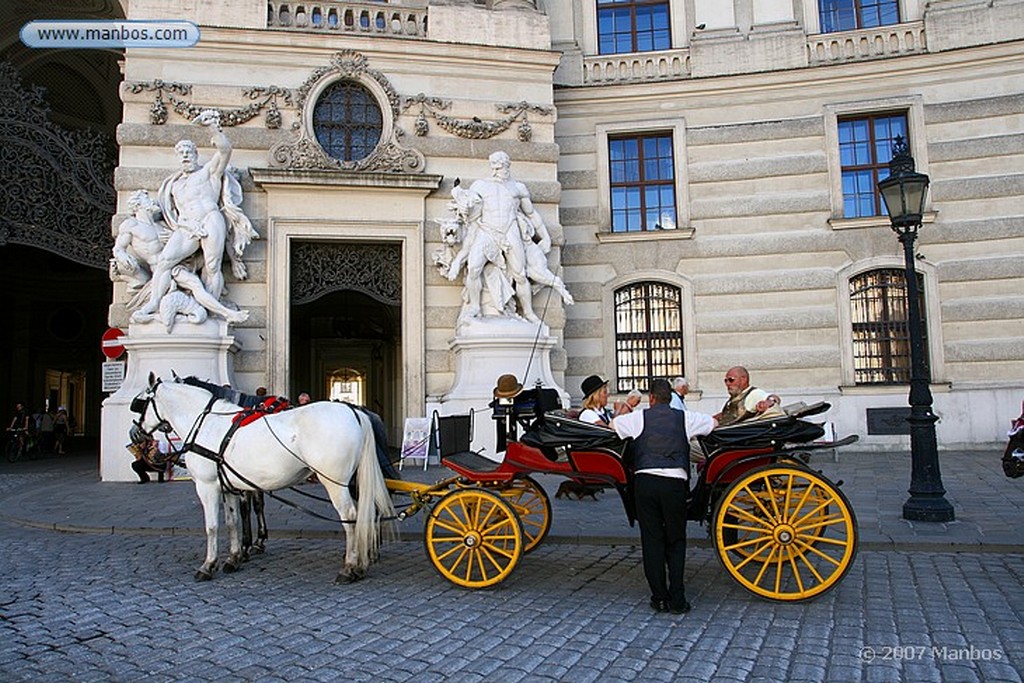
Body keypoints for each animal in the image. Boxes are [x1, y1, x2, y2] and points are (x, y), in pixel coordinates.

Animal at [130, 374, 393, 581]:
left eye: (140, 403)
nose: (135, 433)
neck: (207, 424)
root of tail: (354, 410)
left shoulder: (208, 486)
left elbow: (213, 526)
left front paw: (209, 564)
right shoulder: (229, 486)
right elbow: (233, 521)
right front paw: (235, 556)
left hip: (334, 482)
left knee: (351, 516)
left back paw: (350, 566)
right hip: (352, 480)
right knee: (366, 513)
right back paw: (364, 558)